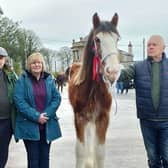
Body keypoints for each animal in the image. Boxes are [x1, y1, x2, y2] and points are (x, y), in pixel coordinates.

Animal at [67, 12, 121, 167]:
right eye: (97, 39)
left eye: (117, 39)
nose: (113, 71)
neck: (93, 89)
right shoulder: (79, 118)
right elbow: (80, 150)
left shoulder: (103, 118)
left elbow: (100, 152)